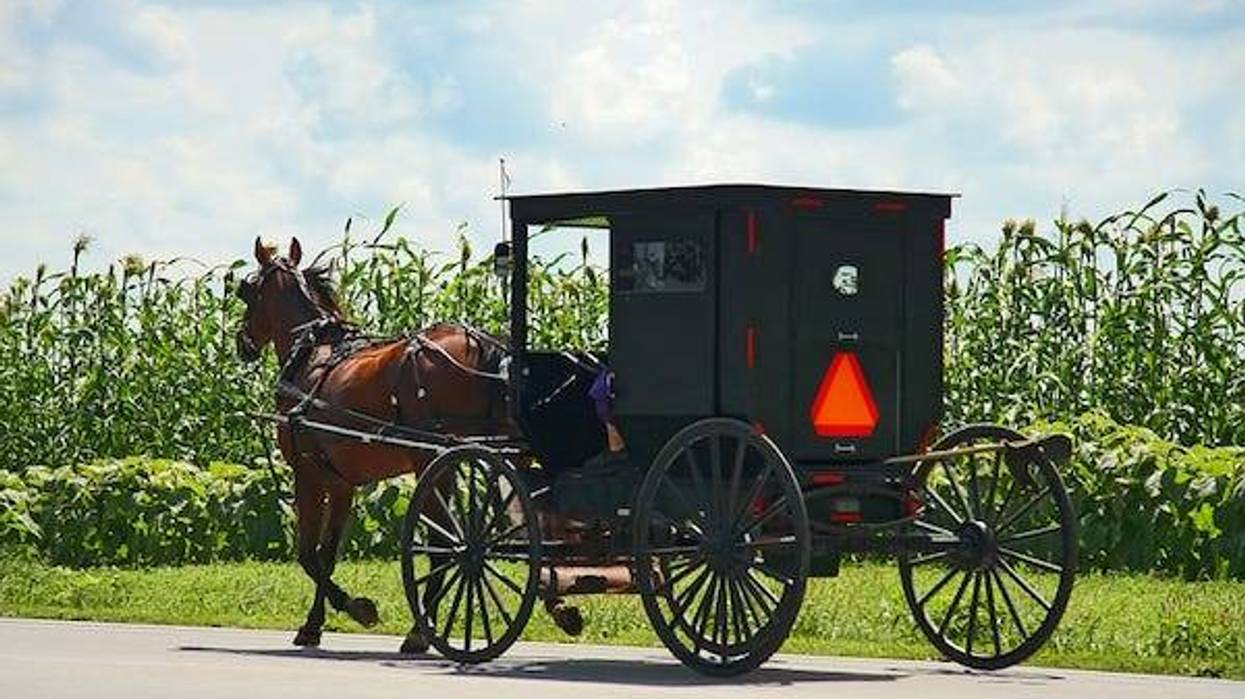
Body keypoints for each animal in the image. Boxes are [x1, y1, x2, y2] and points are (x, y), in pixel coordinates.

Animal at [234, 237, 513, 654]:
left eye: (246, 291)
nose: (243, 343)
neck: (311, 354)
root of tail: (476, 341)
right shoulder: (341, 483)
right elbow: (328, 554)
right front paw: (315, 624)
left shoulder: (308, 475)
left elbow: (308, 554)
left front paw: (354, 609)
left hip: (430, 459)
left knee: (445, 542)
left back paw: (420, 630)